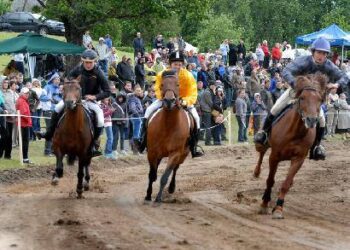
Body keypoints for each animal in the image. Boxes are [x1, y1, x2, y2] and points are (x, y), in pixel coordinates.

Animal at [145, 69, 194, 204]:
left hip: (183, 154)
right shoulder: (152, 152)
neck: (168, 126)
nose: (169, 101)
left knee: (175, 169)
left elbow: (165, 177)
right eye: (162, 85)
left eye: (177, 85)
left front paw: (158, 198)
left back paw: (171, 188)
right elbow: (152, 175)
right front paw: (148, 195)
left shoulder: (175, 153)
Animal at [253, 73, 326, 219]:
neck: (296, 132)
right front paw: (264, 204)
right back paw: (256, 172)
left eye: (320, 100)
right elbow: (270, 180)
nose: (311, 120)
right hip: (264, 144)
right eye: (302, 98)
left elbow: (286, 183)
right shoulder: (274, 156)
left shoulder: (299, 159)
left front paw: (278, 208)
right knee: (261, 153)